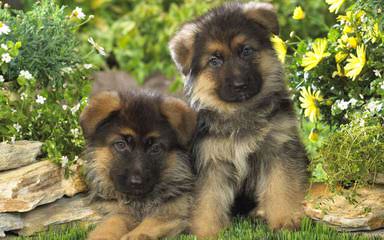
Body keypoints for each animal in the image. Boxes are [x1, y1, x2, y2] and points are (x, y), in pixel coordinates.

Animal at [80, 89, 195, 239]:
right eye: (121, 145)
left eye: (155, 148)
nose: (136, 183)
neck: (138, 202)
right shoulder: (118, 211)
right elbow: (111, 224)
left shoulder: (171, 212)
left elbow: (146, 227)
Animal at [168, 1, 308, 238]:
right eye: (214, 61)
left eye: (246, 51)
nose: (240, 85)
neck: (240, 113)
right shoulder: (210, 162)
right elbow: (207, 201)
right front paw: (206, 232)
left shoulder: (278, 150)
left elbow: (281, 188)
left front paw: (285, 221)